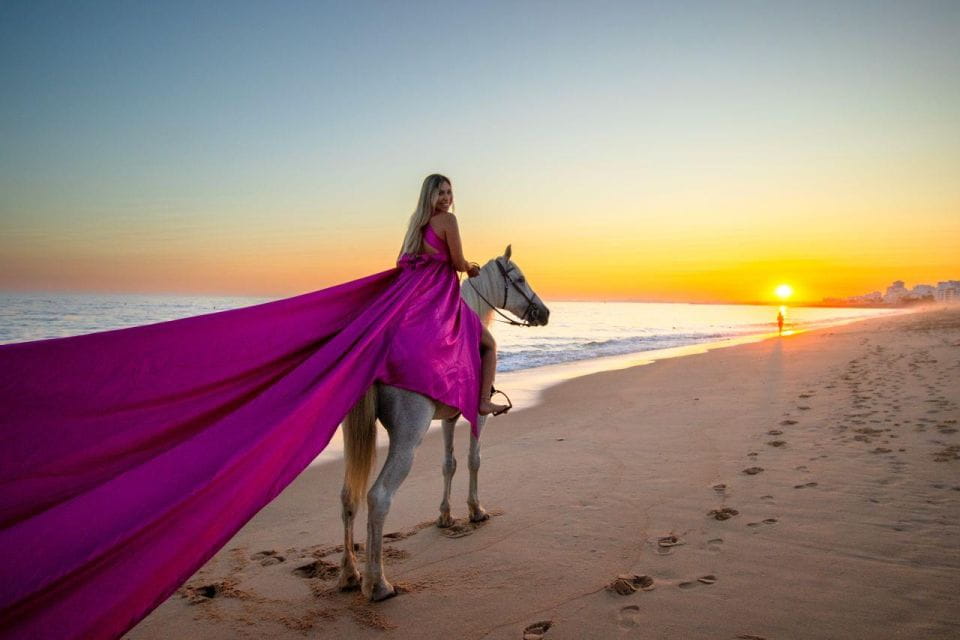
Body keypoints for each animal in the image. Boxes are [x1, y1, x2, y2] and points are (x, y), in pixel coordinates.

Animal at [336, 244, 550, 601]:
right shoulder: (477, 414)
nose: (543, 312)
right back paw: (378, 583)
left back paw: (350, 574)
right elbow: (474, 459)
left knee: (348, 496)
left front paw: (445, 515)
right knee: (379, 497)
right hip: (407, 439)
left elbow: (448, 464)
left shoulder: (449, 418)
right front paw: (475, 510)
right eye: (519, 278)